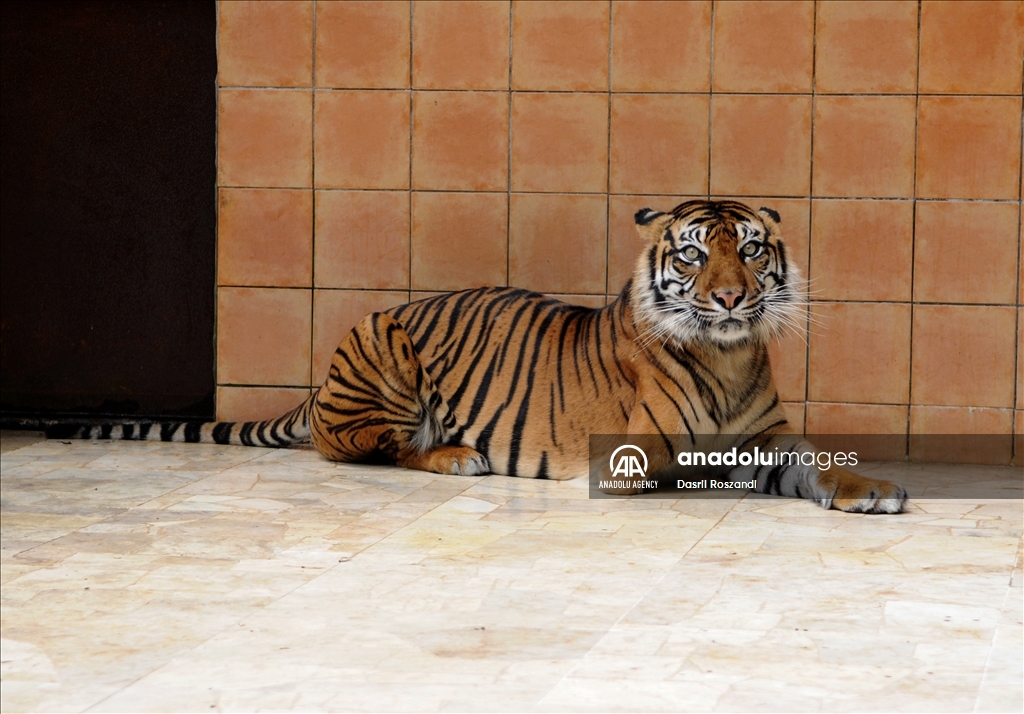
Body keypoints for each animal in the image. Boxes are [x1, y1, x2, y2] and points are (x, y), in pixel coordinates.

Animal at [49, 198, 905, 512]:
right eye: (694, 255)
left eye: (752, 250)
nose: (729, 299)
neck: (729, 356)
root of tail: (317, 389)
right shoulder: (632, 458)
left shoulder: (768, 439)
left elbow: (818, 462)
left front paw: (871, 488)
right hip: (386, 351)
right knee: (377, 450)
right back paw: (458, 455)